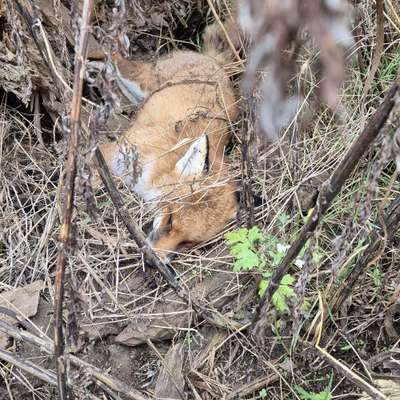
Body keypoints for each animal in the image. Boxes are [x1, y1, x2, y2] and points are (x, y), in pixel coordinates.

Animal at [95, 21, 242, 262]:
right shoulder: (115, 152)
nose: (153, 260)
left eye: (188, 243)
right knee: (115, 57)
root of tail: (214, 63)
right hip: (140, 79)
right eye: (171, 220)